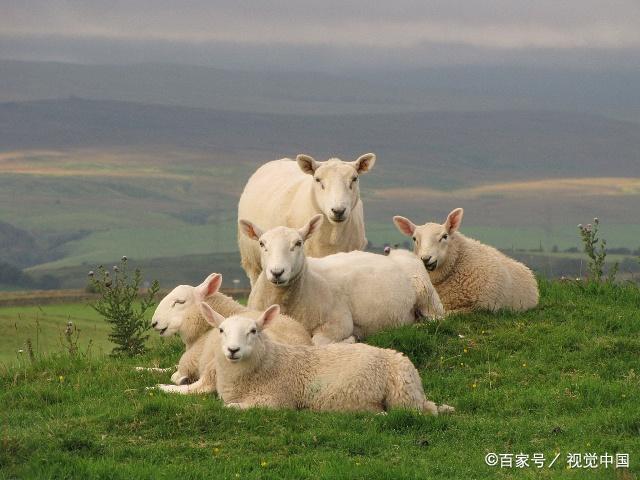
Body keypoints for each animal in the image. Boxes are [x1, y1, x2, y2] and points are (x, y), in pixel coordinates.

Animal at [150, 272, 310, 392]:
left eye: (180, 302)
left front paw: (176, 378)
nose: (154, 323)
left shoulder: (191, 361)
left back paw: (159, 387)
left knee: (200, 387)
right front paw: (149, 368)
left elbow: (175, 373)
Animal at [200, 306, 456, 414]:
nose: (233, 350)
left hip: (403, 397)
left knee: (420, 412)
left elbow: (231, 408)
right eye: (221, 330)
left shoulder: (276, 400)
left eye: (253, 331)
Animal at [238, 215, 442, 344]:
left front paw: (352, 339)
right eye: (262, 243)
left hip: (428, 300)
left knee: (436, 321)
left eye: (298, 243)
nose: (277, 272)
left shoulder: (338, 323)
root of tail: (400, 254)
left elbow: (317, 342)